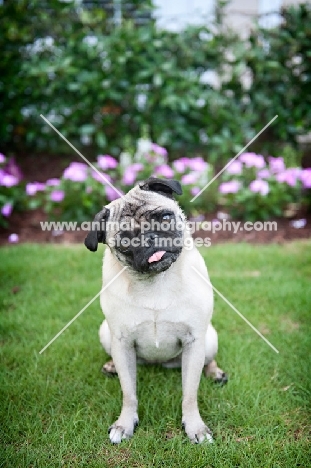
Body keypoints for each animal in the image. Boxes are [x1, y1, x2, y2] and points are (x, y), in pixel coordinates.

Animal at [84, 177, 228, 444]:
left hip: (209, 338)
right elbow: (128, 393)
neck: (155, 282)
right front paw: (125, 424)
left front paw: (195, 428)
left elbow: (189, 395)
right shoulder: (122, 343)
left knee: (208, 360)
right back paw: (111, 366)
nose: (149, 238)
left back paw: (215, 373)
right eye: (126, 241)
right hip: (106, 333)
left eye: (164, 217)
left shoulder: (194, 341)